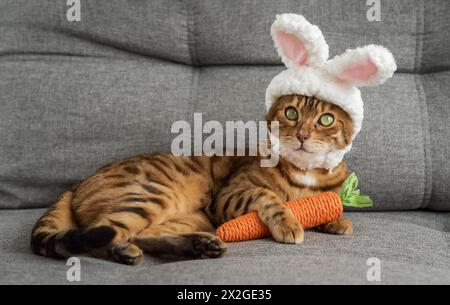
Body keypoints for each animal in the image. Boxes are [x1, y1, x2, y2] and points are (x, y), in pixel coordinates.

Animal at [30, 94, 356, 264]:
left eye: (326, 119)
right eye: (291, 113)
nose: (302, 135)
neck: (306, 171)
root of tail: (76, 183)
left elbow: (328, 205)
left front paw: (336, 221)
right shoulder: (229, 196)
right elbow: (270, 196)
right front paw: (289, 222)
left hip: (191, 216)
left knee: (141, 234)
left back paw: (200, 245)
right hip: (153, 194)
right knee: (104, 231)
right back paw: (123, 250)